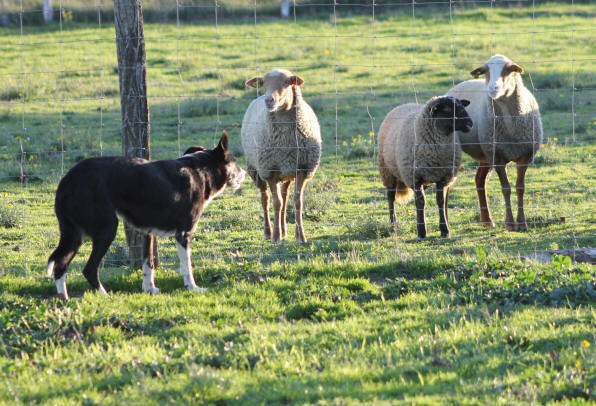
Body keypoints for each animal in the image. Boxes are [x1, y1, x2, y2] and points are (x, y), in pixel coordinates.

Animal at [45, 132, 247, 300]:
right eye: (235, 161)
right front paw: (193, 288)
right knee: (89, 269)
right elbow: (187, 266)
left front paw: (149, 288)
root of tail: (67, 180)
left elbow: (148, 264)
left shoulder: (148, 232)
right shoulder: (183, 234)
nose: (245, 173)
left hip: (74, 234)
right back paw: (105, 295)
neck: (201, 169)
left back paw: (64, 298)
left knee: (60, 265)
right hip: (106, 229)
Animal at [240, 68, 322, 243]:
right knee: (265, 199)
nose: (269, 100)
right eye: (264, 83)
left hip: (287, 172)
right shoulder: (269, 170)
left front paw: (300, 236)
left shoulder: (303, 169)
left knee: (284, 197)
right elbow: (276, 203)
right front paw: (276, 237)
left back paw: (284, 230)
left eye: (287, 82)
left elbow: (297, 202)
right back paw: (268, 232)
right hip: (256, 170)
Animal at [380, 95, 472, 238]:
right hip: (388, 172)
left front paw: (445, 230)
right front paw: (422, 231)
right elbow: (420, 202)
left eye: (462, 106)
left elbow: (440, 201)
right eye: (447, 109)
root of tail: (404, 105)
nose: (470, 123)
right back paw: (393, 224)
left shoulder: (442, 176)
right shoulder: (415, 178)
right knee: (390, 197)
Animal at [450, 54, 544, 232]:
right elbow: (506, 188)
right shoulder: (498, 157)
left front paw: (522, 223)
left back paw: (487, 221)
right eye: (485, 71)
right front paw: (510, 223)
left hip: (486, 154)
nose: (493, 88)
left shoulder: (525, 156)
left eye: (509, 70)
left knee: (480, 180)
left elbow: (520, 187)